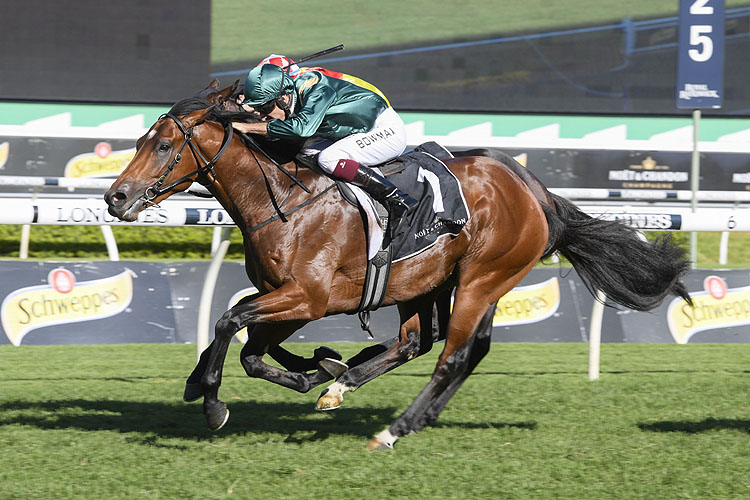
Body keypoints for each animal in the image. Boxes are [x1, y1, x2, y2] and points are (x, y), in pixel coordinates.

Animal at [104, 96, 692, 450]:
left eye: (163, 144)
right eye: (139, 141)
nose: (117, 197)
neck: (285, 202)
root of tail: (536, 191)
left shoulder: (308, 297)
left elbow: (231, 322)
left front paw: (213, 402)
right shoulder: (288, 296)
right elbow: (250, 346)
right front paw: (317, 368)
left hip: (481, 278)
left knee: (452, 355)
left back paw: (394, 428)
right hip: (432, 281)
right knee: (426, 343)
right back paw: (350, 383)